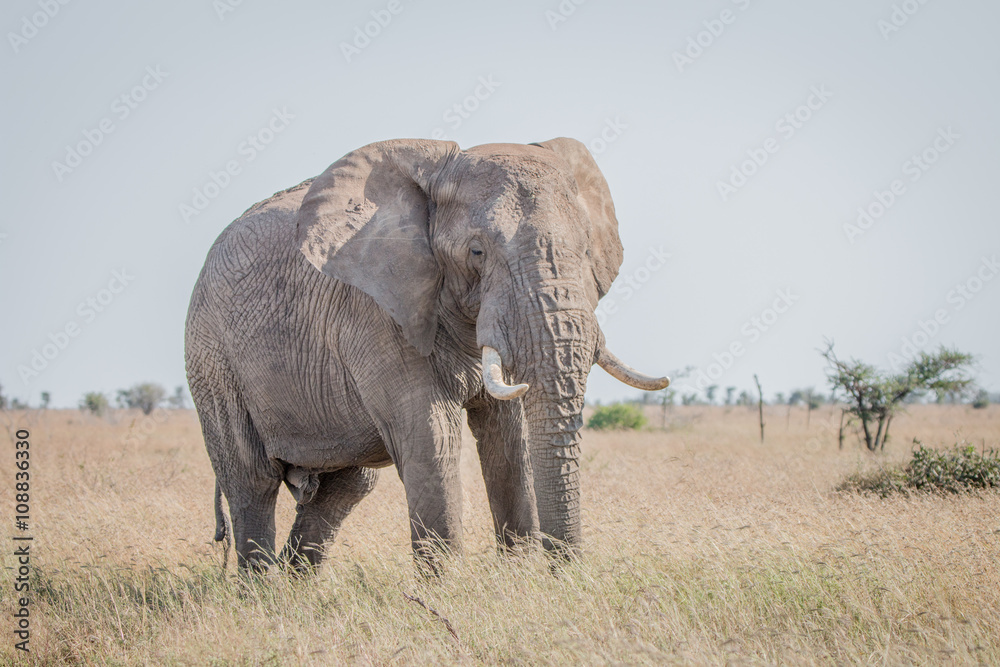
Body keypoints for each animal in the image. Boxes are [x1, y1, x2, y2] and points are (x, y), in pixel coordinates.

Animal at [185, 137, 668, 572]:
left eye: (586, 252)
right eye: (477, 251)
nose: (566, 572)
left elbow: (508, 439)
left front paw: (519, 576)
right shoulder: (378, 311)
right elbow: (431, 437)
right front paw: (447, 591)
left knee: (348, 483)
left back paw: (297, 585)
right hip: (211, 361)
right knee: (253, 480)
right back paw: (262, 591)